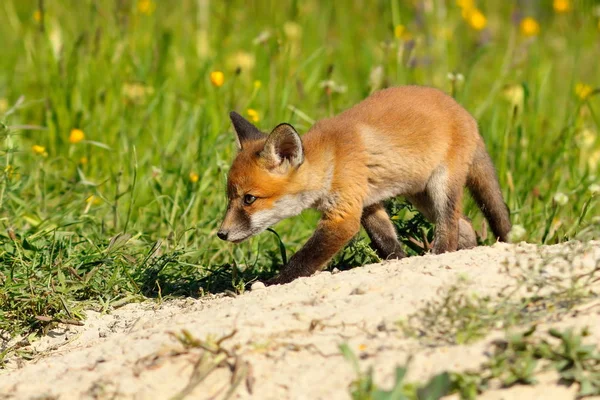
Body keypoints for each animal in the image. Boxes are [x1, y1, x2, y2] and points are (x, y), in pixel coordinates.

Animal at [217, 85, 510, 284]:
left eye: (249, 199)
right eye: (230, 198)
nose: (221, 234)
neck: (332, 161)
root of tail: (465, 113)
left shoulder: (344, 215)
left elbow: (303, 259)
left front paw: (272, 283)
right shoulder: (367, 202)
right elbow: (386, 242)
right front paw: (400, 262)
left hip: (441, 187)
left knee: (449, 230)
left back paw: (439, 255)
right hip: (421, 196)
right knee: (466, 226)